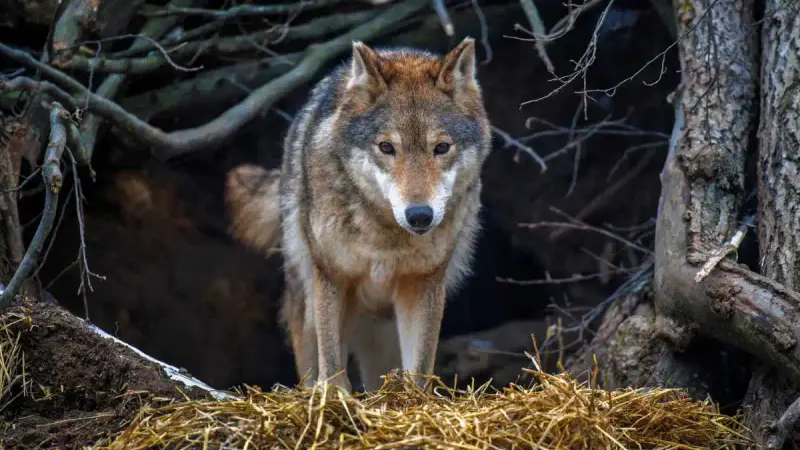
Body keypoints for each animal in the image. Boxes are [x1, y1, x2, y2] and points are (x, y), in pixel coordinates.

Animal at [276, 37, 492, 393]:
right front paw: (332, 397)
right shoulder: (332, 275)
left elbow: (420, 367)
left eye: (441, 148)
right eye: (387, 148)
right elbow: (331, 360)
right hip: (307, 300)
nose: (420, 215)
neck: (385, 238)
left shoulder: (423, 283)